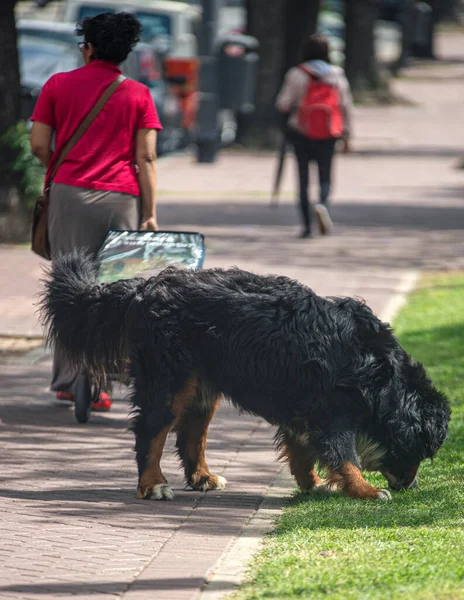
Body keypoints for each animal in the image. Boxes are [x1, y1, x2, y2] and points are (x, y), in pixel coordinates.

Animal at [40, 251, 450, 500]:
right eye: (421, 450)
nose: (412, 485)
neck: (378, 375)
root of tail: (146, 286)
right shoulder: (332, 411)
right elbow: (345, 455)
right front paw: (364, 489)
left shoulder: (304, 407)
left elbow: (301, 449)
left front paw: (312, 483)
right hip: (169, 381)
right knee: (151, 432)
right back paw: (153, 485)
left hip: (202, 388)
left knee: (191, 436)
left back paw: (203, 478)